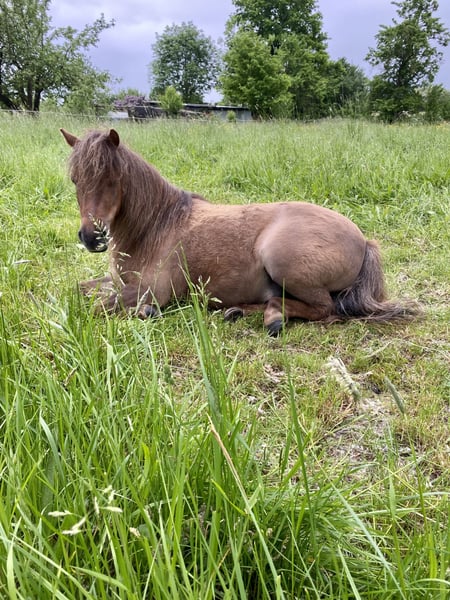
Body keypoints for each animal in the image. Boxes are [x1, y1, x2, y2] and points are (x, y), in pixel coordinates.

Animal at [61, 128, 419, 335]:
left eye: (112, 179)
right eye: (75, 180)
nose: (91, 237)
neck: (155, 228)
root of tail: (363, 241)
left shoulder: (152, 291)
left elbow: (95, 308)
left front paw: (145, 312)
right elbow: (80, 291)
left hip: (282, 261)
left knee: (325, 310)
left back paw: (273, 318)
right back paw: (238, 311)